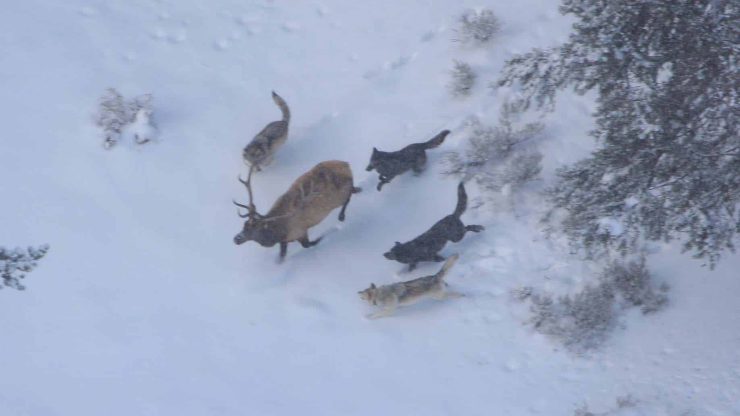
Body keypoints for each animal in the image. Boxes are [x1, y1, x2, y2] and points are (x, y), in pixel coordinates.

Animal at [233, 160, 362, 262]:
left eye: (254, 229)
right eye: (244, 225)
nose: (236, 239)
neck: (278, 232)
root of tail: (346, 164)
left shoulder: (300, 232)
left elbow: (309, 244)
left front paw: (328, 233)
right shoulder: (284, 241)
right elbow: (282, 256)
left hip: (339, 196)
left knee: (348, 197)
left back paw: (341, 216)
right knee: (353, 190)